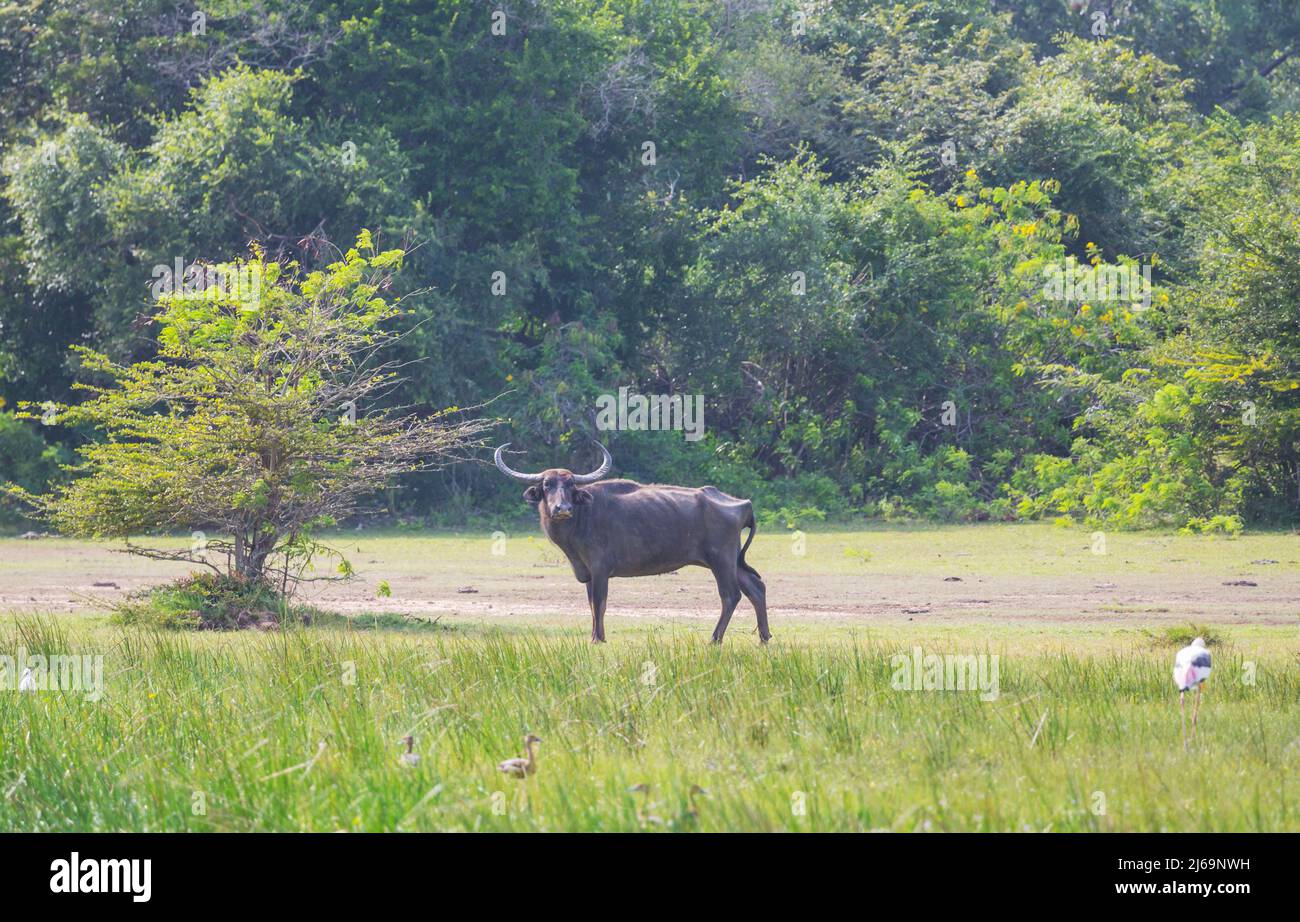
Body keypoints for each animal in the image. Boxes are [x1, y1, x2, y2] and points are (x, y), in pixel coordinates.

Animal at [494, 442, 770, 644]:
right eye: (547, 484)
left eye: (571, 484)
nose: (562, 508)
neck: (582, 518)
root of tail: (743, 504)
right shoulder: (588, 572)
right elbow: (591, 604)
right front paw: (595, 636)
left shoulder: (600, 569)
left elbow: (600, 602)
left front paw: (598, 638)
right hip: (732, 560)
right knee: (755, 587)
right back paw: (764, 637)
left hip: (721, 559)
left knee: (731, 595)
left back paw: (715, 639)